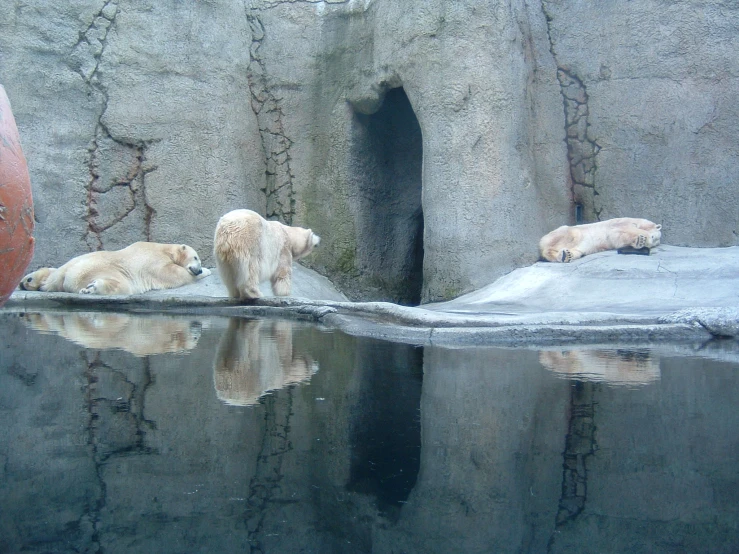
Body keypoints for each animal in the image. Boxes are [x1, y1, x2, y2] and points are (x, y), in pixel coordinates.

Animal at [22, 240, 211, 294]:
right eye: (196, 258)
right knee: (124, 286)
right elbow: (174, 274)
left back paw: (29, 280)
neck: (164, 249)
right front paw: (206, 272)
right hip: (104, 269)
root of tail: (67, 274)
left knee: (52, 274)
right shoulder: (153, 262)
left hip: (69, 265)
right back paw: (92, 288)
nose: (200, 269)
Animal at [536, 217, 664, 262]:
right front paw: (643, 238)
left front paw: (639, 241)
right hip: (570, 232)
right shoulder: (622, 222)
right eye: (654, 237)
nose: (650, 243)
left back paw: (567, 255)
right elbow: (621, 229)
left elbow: (619, 239)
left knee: (578, 252)